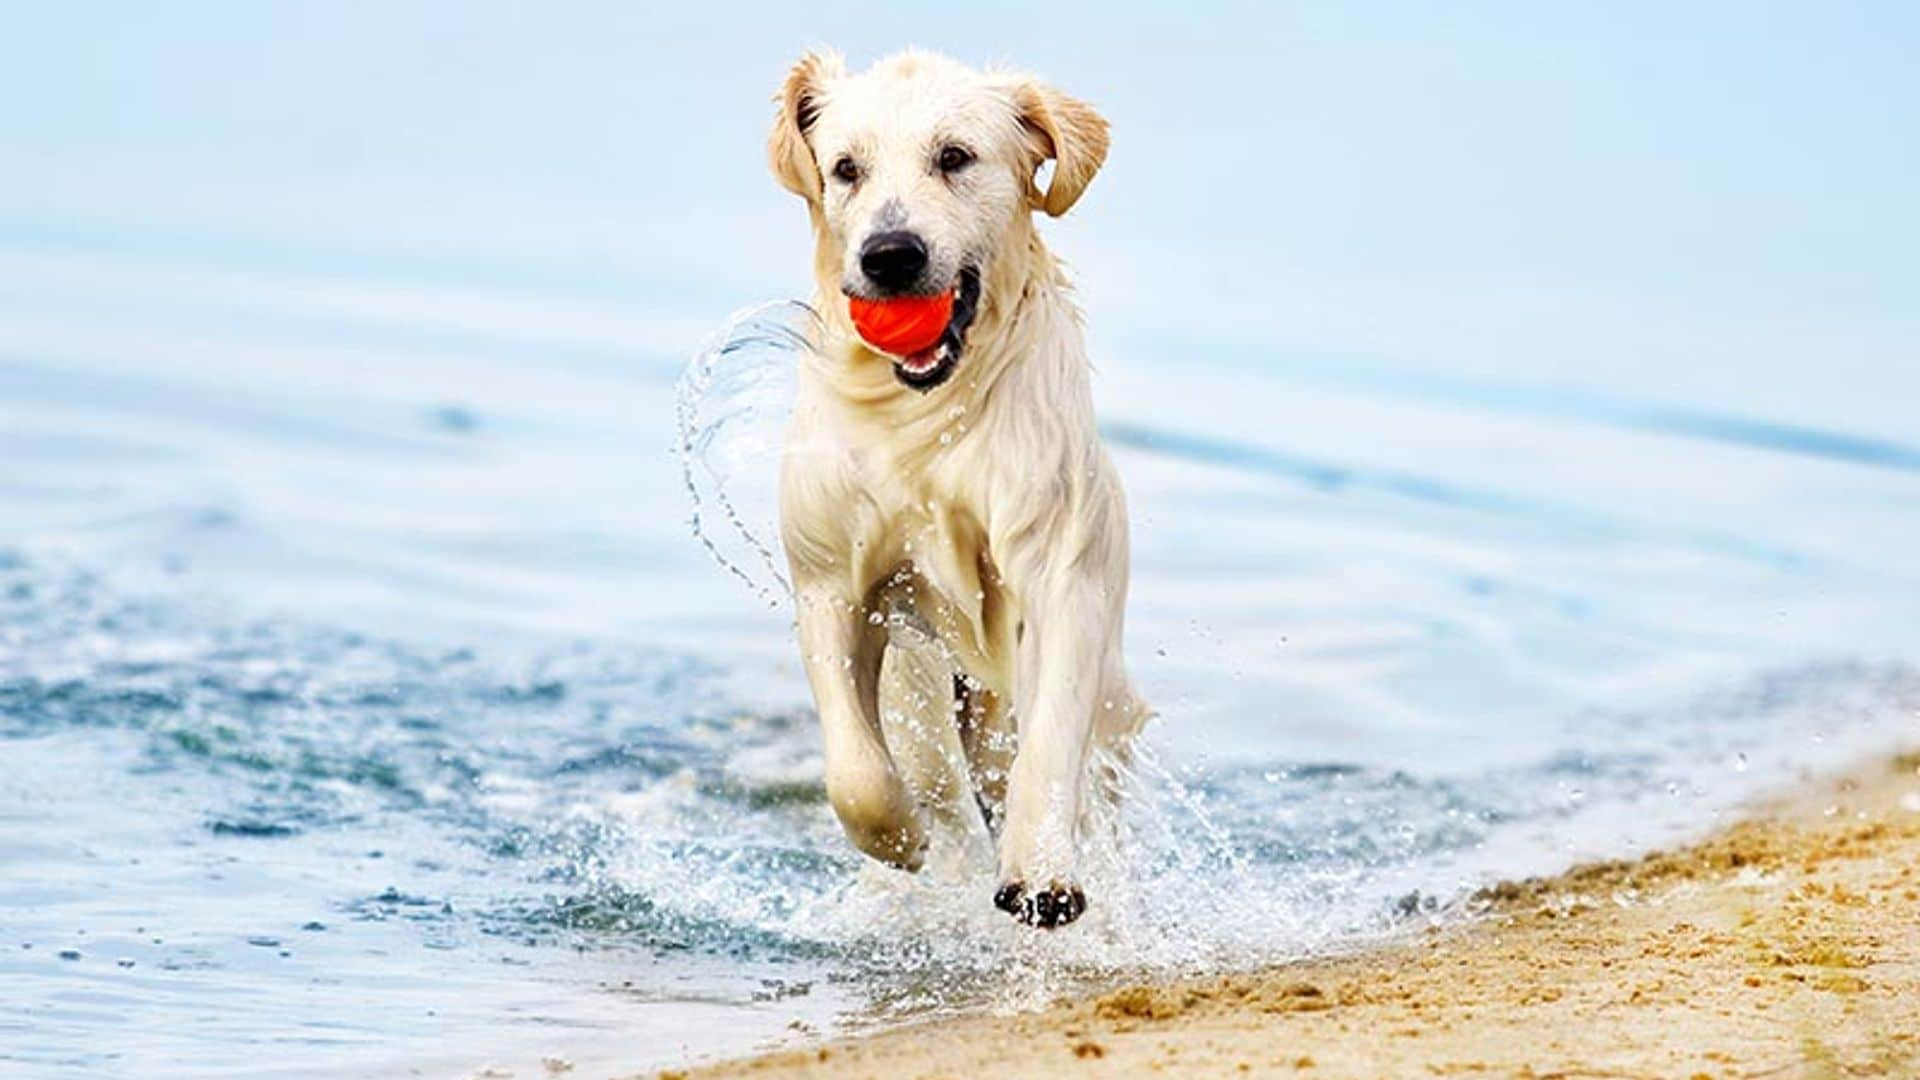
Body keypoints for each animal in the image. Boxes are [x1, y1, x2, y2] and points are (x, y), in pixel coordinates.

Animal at [764, 48, 1144, 926]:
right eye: (845, 168)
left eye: (955, 157)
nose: (891, 254)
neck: (926, 414)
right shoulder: (830, 578)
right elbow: (858, 769)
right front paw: (900, 839)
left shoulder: (1063, 566)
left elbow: (1050, 735)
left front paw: (1042, 875)